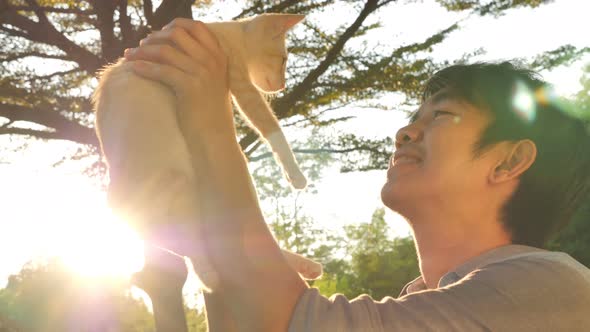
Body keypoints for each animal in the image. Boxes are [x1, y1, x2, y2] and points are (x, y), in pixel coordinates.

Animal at [94, 13, 322, 288]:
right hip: (177, 186)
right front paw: (295, 174)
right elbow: (271, 128)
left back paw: (305, 267)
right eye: (285, 60)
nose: (283, 86)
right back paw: (210, 275)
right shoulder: (241, 83)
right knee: (193, 246)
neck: (227, 31)